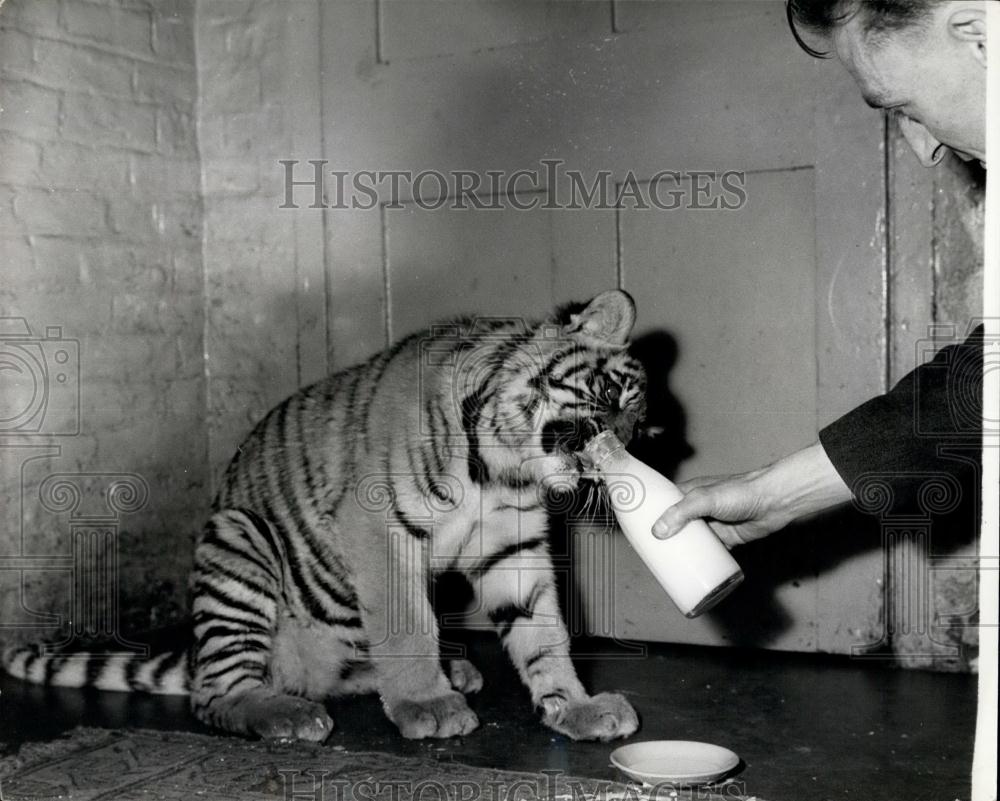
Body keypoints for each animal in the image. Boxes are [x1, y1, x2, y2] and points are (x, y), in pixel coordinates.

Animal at [3, 290, 646, 743]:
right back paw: (284, 714)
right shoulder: (378, 527)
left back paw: (443, 673)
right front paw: (427, 706)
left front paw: (577, 707)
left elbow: (543, 633)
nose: (621, 456)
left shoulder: (512, 546)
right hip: (239, 543)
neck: (501, 467)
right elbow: (408, 626)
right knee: (214, 696)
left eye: (641, 425)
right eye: (613, 399)